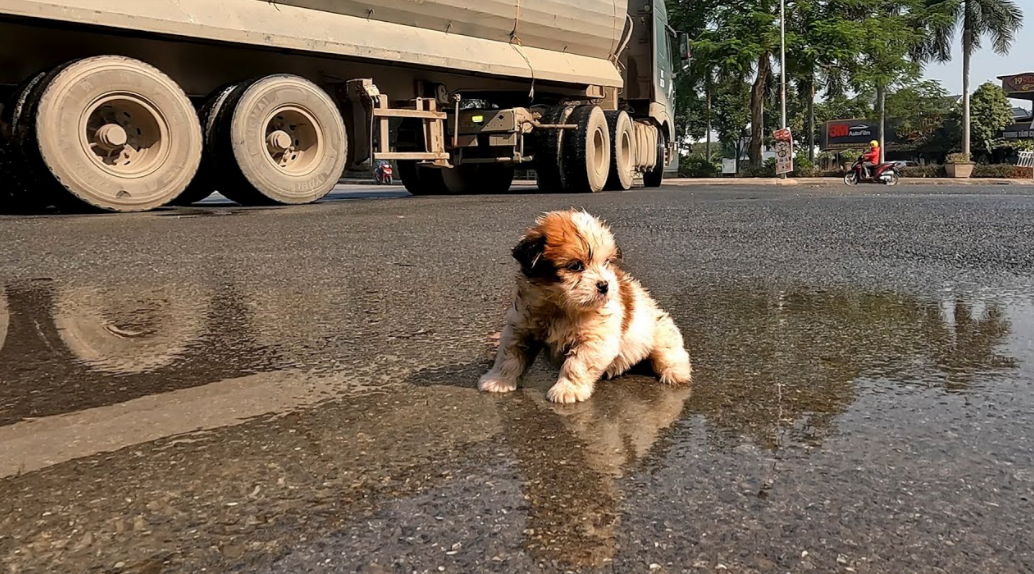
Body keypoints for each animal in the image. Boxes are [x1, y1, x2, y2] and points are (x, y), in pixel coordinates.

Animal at [477, 209, 690, 403]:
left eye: (606, 262)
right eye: (576, 266)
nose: (604, 285)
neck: (560, 307)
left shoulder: (595, 339)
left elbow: (576, 364)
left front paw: (567, 390)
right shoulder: (521, 327)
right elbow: (509, 357)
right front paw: (498, 380)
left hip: (661, 333)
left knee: (669, 353)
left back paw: (676, 372)